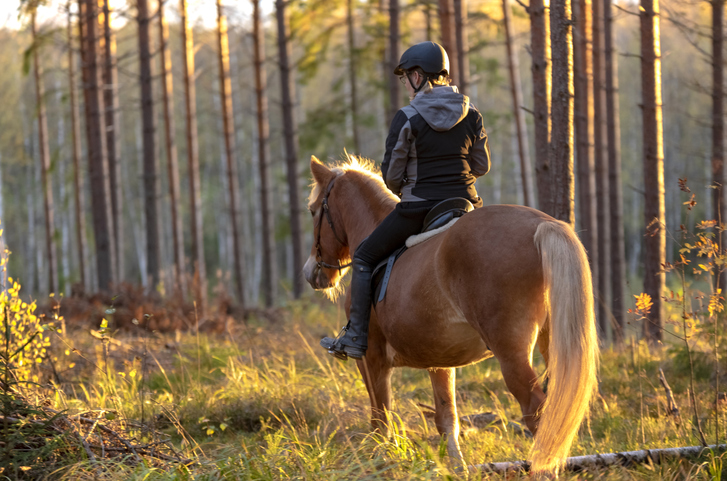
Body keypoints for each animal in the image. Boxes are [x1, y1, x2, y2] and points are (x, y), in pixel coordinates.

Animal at [302, 155, 599, 475]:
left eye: (313, 211)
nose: (312, 273)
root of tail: (541, 224)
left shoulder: (371, 359)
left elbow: (380, 419)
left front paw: (382, 462)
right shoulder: (439, 361)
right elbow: (446, 418)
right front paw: (457, 469)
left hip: (511, 353)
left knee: (537, 414)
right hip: (551, 343)